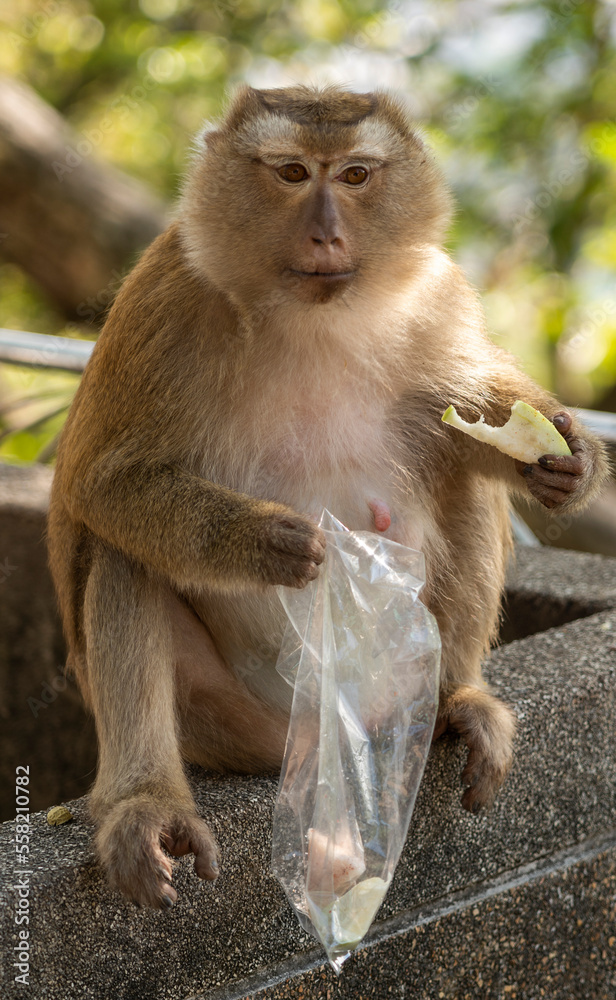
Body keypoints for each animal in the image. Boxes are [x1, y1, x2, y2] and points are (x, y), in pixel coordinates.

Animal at [47, 85, 609, 909]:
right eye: (290, 172)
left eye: (354, 175)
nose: (326, 232)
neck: (309, 313)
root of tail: (326, 733)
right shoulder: (166, 298)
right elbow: (104, 483)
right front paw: (259, 541)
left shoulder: (435, 291)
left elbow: (470, 414)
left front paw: (568, 460)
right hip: (234, 727)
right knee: (126, 551)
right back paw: (146, 803)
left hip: (394, 689)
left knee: (464, 482)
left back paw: (458, 701)